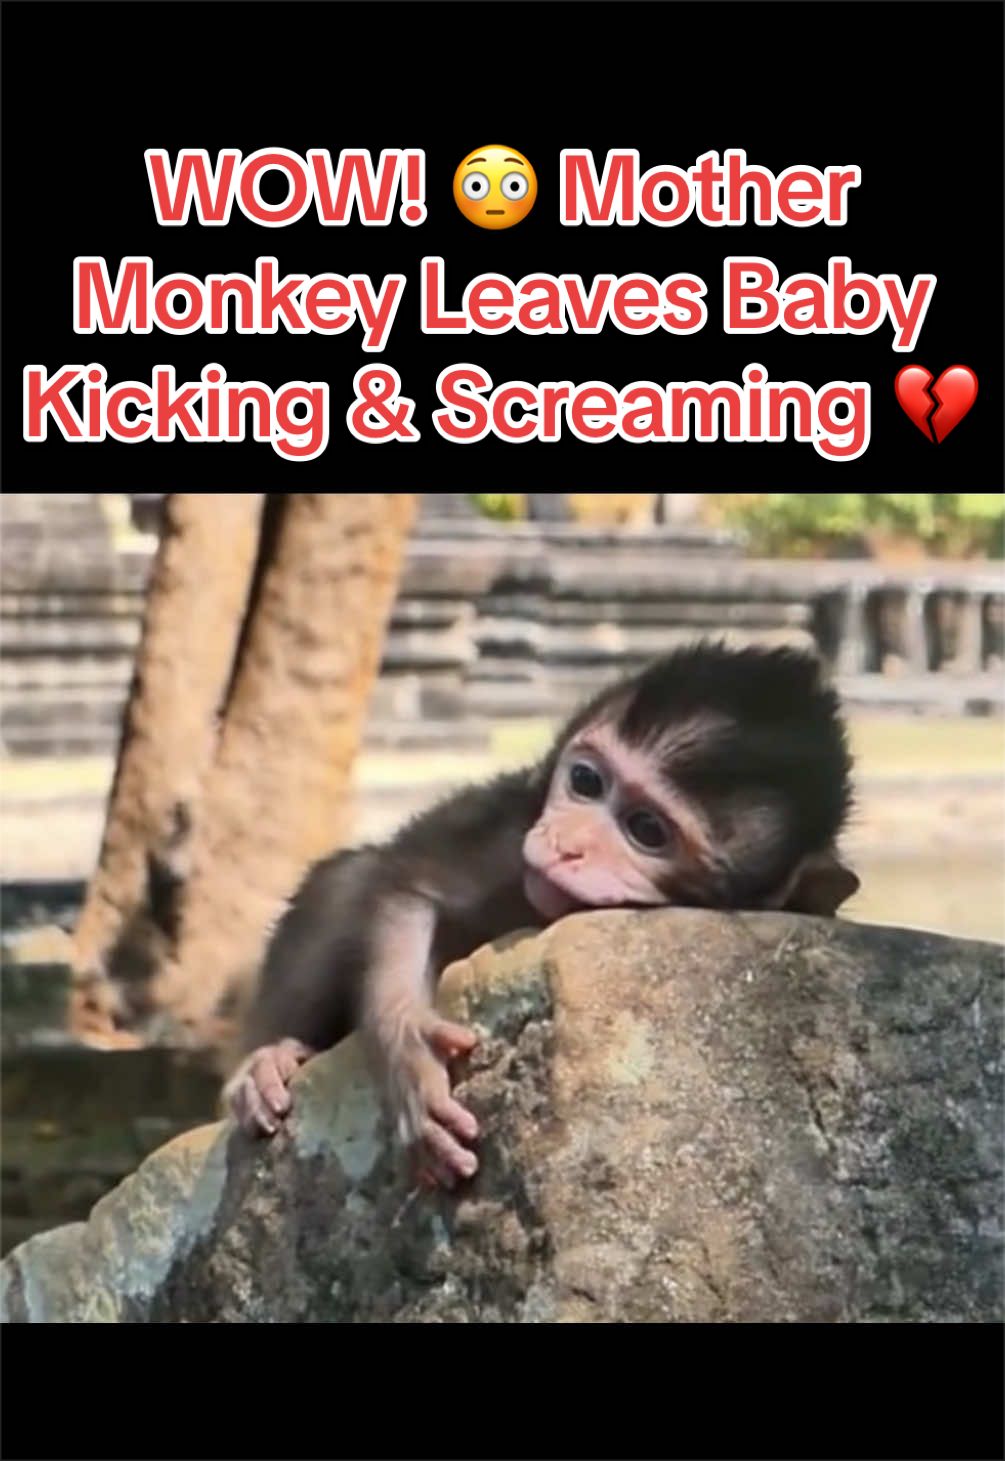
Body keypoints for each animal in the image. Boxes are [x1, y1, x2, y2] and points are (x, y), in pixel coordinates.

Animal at [224, 642, 859, 1188]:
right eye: (585, 781)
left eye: (647, 830)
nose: (566, 845)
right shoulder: (510, 830)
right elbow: (406, 886)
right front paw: (412, 1049)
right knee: (349, 878)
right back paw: (269, 1060)